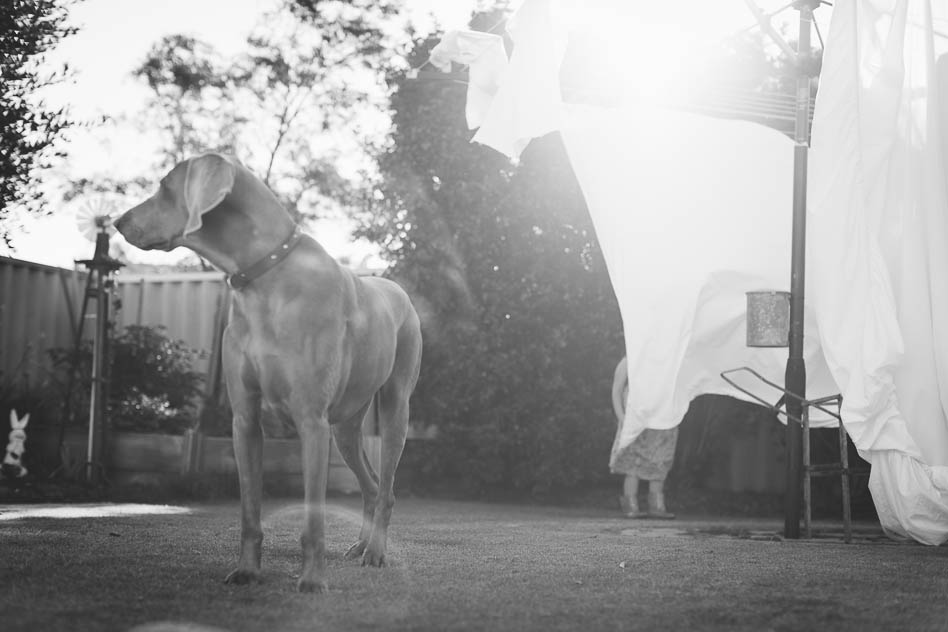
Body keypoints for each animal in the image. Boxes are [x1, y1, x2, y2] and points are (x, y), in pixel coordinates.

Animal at [115, 153, 422, 592]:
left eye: (164, 187)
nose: (117, 222)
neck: (265, 275)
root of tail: (397, 289)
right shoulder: (244, 419)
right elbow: (249, 510)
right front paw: (247, 570)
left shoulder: (311, 420)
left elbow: (313, 517)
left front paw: (312, 581)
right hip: (345, 428)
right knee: (371, 485)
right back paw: (362, 545)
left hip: (395, 408)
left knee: (387, 487)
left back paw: (376, 552)